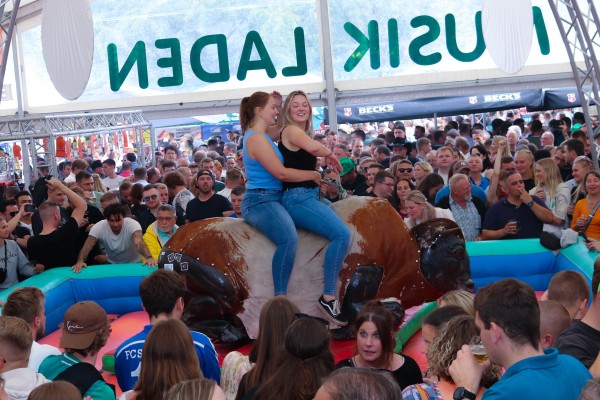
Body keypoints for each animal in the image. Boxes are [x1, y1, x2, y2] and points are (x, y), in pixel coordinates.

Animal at [159, 196, 468, 340]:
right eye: (456, 250)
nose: (468, 281)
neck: (409, 251)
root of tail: (172, 242)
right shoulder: (364, 270)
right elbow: (375, 310)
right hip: (222, 285)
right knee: (189, 314)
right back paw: (229, 330)